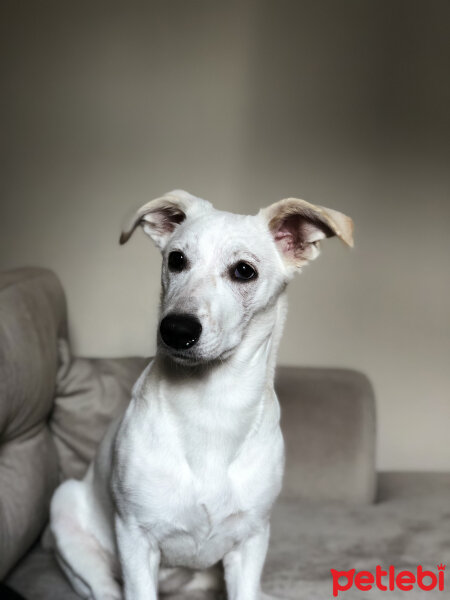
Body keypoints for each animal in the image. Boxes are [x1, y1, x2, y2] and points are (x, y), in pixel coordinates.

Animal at [48, 190, 352, 596]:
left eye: (244, 270)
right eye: (177, 259)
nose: (176, 329)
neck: (212, 405)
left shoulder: (251, 540)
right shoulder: (135, 538)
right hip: (65, 509)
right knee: (104, 587)